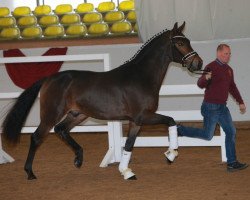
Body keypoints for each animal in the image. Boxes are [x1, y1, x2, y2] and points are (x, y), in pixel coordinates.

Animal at [1, 21, 203, 180]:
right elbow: (170, 121)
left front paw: (127, 171)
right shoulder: (142, 116)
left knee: (61, 130)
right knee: (37, 137)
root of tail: (49, 78)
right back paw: (30, 172)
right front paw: (171, 154)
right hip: (51, 114)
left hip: (78, 114)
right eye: (179, 42)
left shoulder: (135, 121)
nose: (198, 63)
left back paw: (78, 159)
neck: (140, 76)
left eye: (188, 41)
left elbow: (130, 145)